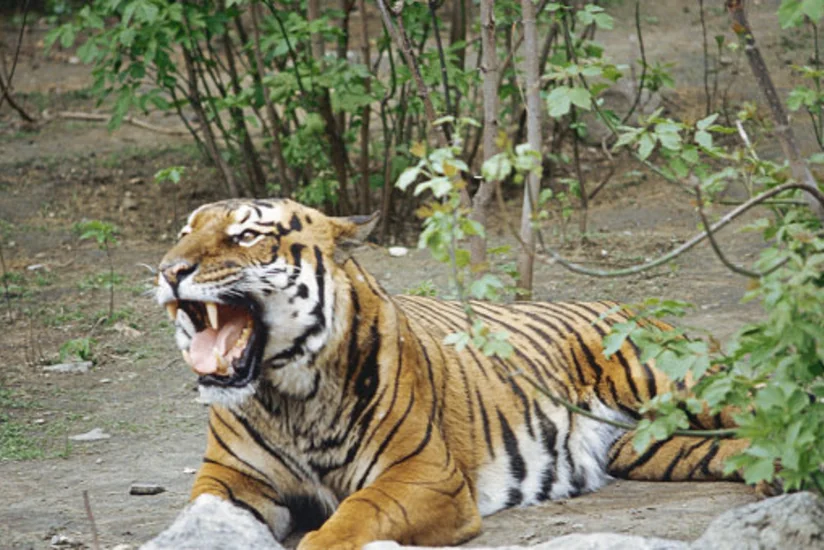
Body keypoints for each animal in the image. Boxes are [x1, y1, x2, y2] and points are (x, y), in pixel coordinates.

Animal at [148, 198, 747, 550]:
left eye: (247, 236)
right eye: (182, 232)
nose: (169, 270)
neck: (286, 394)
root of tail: (629, 307)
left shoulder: (423, 474)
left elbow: (354, 515)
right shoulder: (229, 478)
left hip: (680, 384)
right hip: (657, 446)